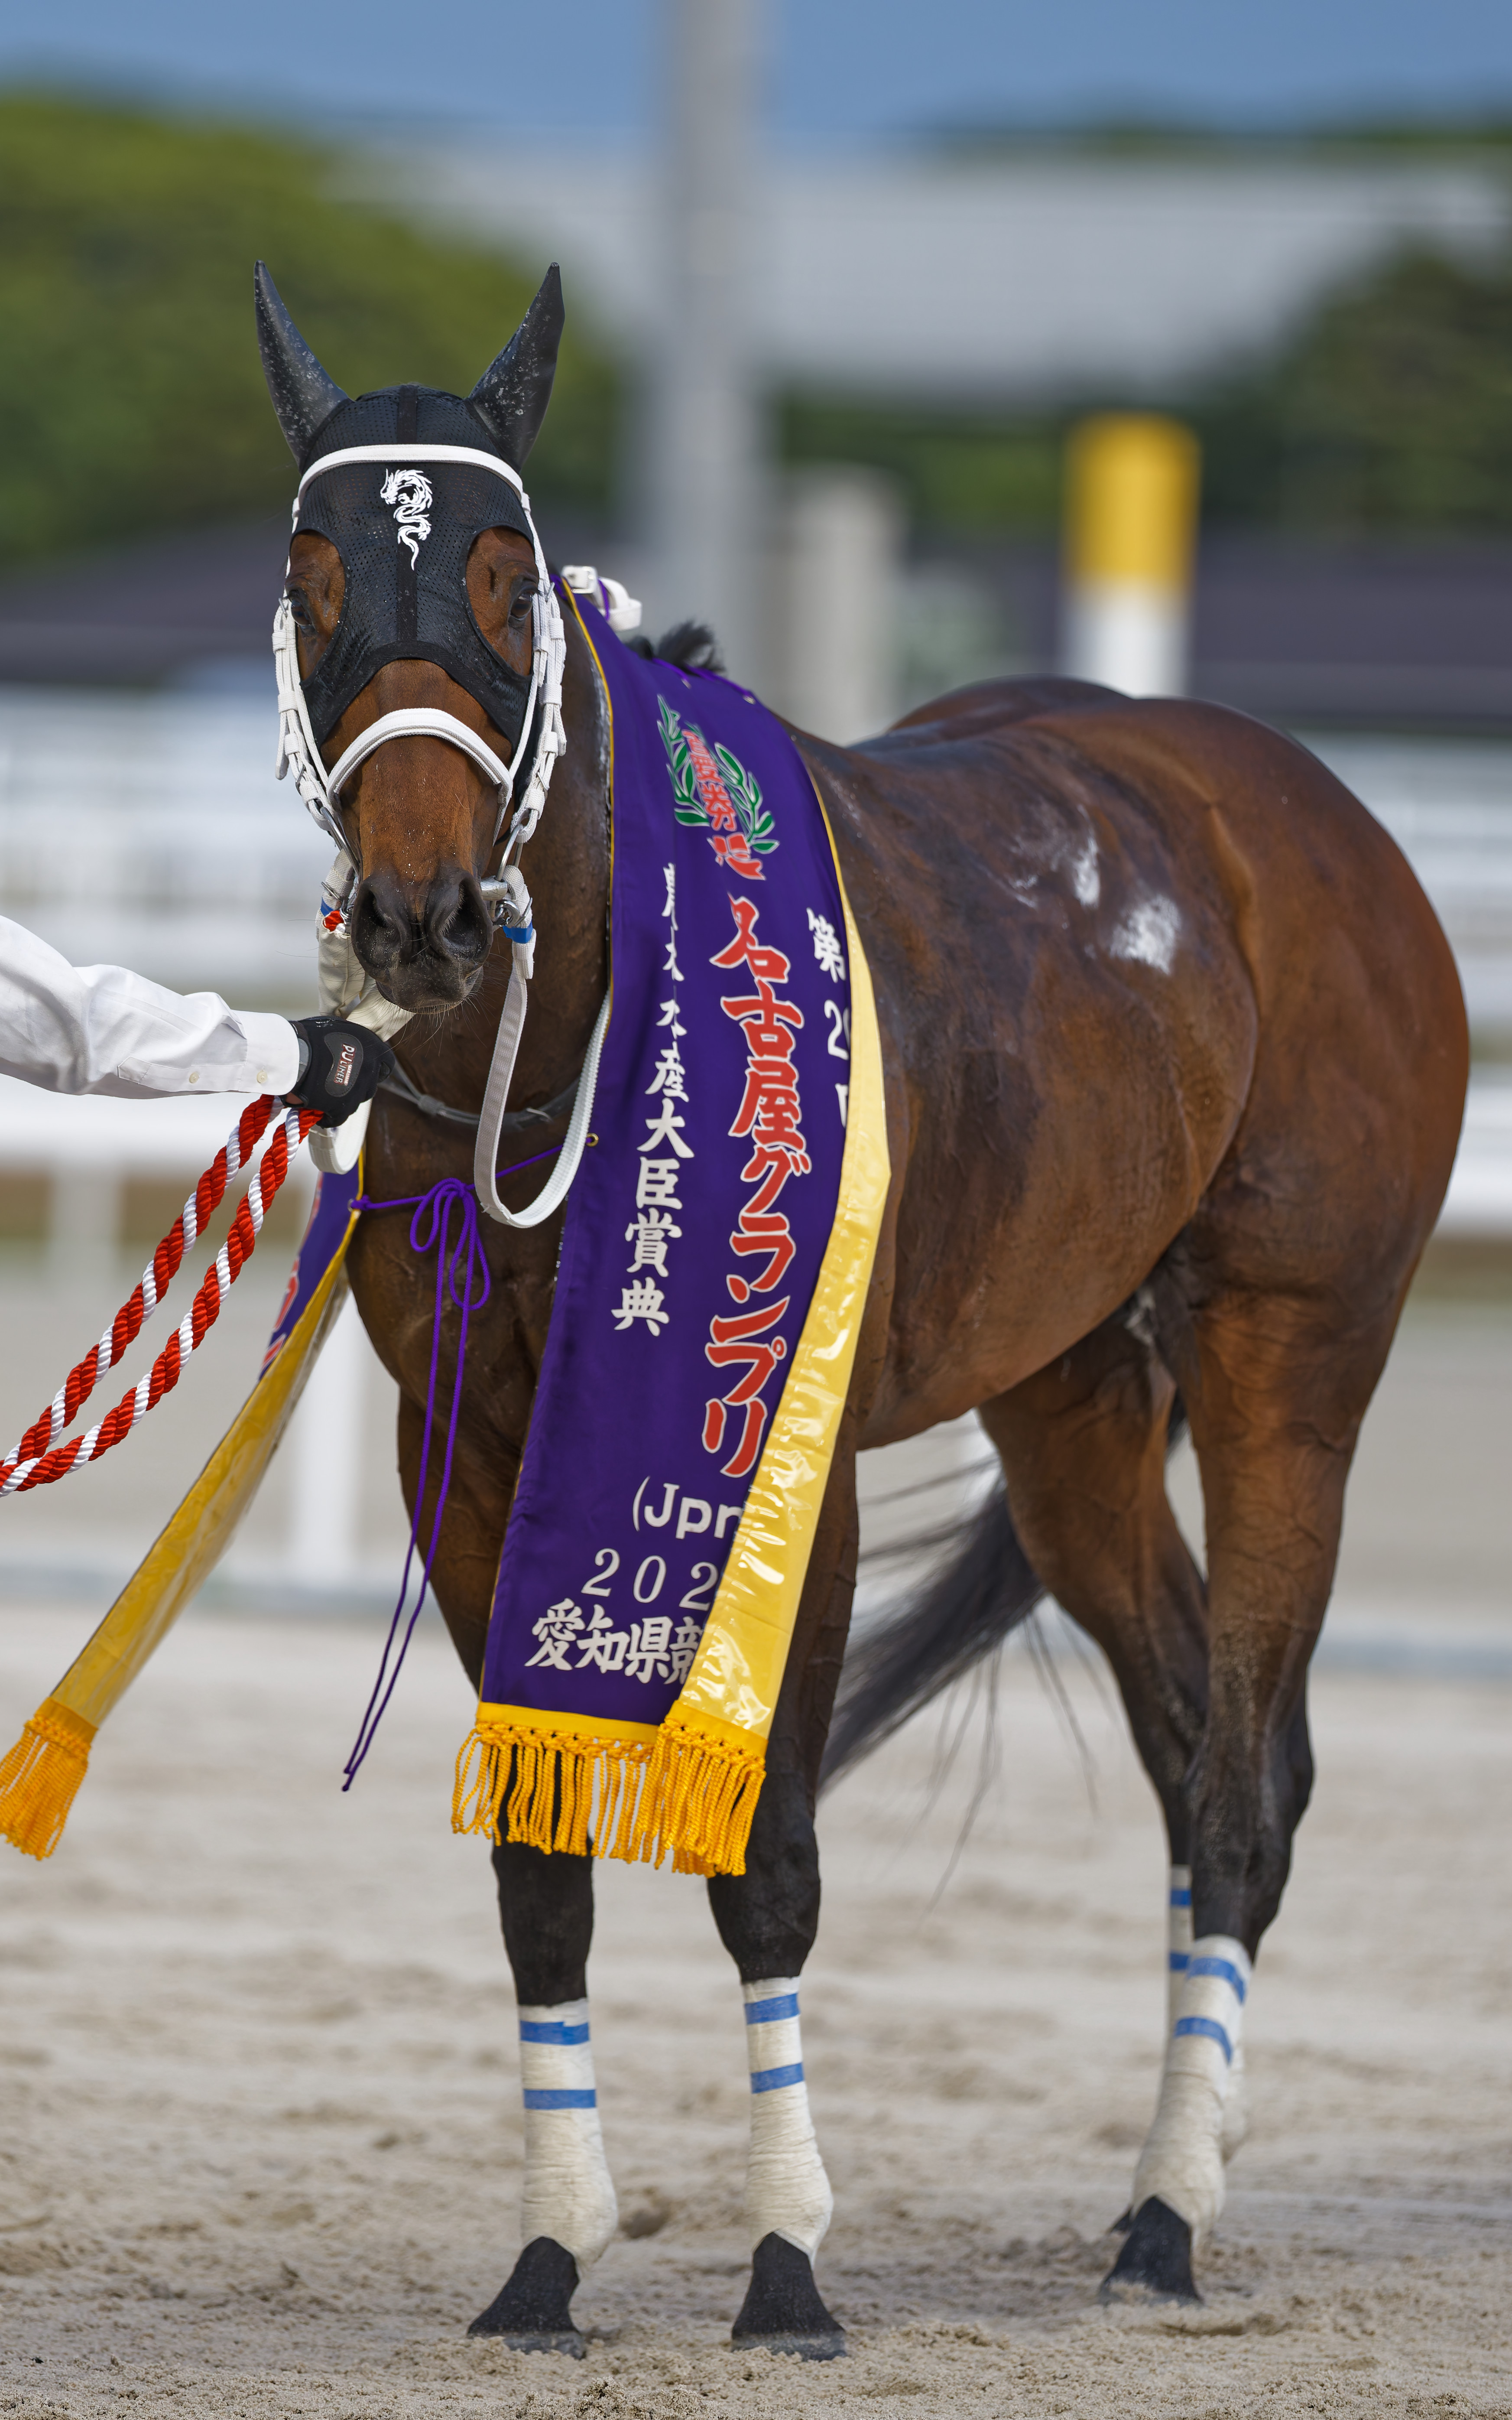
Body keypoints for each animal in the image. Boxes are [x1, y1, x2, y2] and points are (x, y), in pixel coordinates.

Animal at [257, 268, 1467, 2355]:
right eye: (314, 569)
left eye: (502, 570)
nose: (421, 914)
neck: (587, 1029)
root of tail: (1290, 803)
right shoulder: (466, 1451)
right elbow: (539, 1868)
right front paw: (549, 2257)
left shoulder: (777, 1462)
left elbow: (769, 1864)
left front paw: (787, 2262)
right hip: (1071, 1402)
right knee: (1181, 1740)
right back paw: (1163, 2174)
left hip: (1289, 1351)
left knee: (1245, 1776)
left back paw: (1169, 2215)